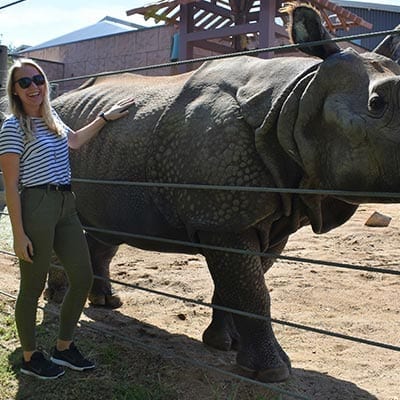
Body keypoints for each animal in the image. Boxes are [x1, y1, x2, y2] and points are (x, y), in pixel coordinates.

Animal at [47, 3, 400, 384]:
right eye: (378, 104)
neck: (297, 99)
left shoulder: (267, 217)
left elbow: (241, 284)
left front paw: (224, 344)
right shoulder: (223, 217)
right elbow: (251, 292)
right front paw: (272, 372)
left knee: (106, 228)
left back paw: (106, 304)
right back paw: (57, 300)